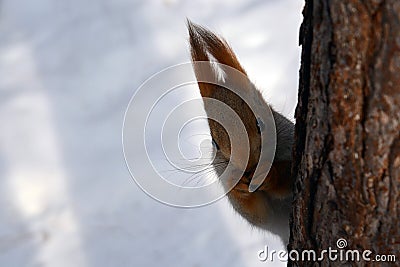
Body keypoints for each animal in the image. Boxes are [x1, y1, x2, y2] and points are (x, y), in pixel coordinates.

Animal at [187, 22, 294, 246]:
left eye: (260, 124)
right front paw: (236, 184)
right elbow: (259, 216)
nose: (247, 167)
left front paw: (268, 174)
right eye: (215, 144)